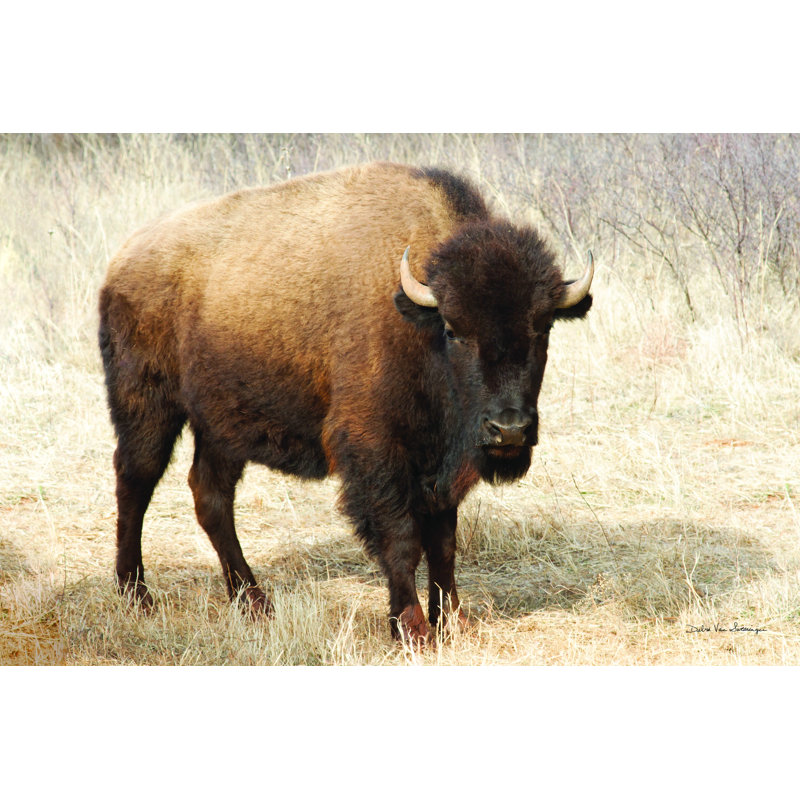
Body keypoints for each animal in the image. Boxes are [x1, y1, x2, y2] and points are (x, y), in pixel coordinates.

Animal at [98, 161, 593, 643]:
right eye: (454, 330)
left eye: (543, 327)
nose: (509, 429)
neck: (417, 322)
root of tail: (121, 263)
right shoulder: (375, 449)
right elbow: (401, 538)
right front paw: (412, 628)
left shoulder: (439, 465)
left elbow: (444, 542)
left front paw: (452, 621)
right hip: (147, 406)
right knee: (135, 482)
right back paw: (136, 595)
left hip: (221, 426)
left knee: (211, 496)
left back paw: (254, 604)